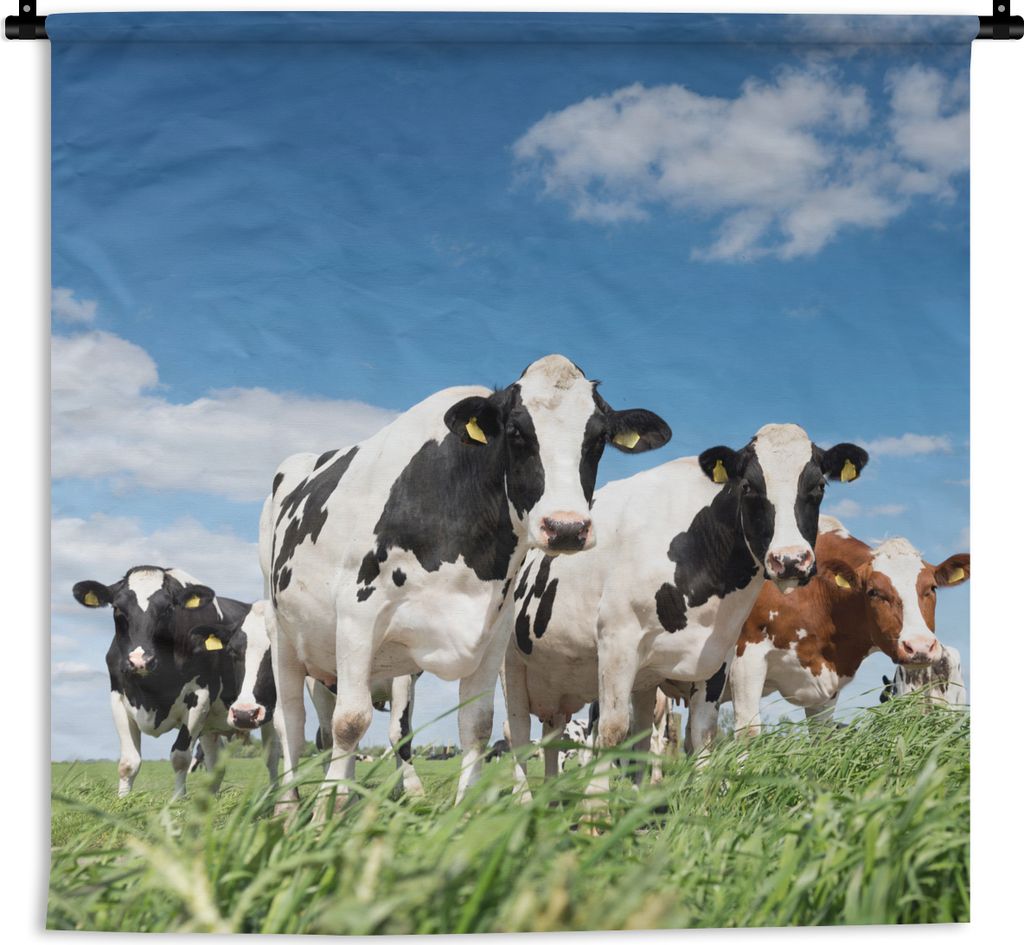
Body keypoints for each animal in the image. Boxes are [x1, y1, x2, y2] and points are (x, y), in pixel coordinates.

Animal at [72, 568, 279, 797]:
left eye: (168, 608)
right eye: (117, 608)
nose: (140, 661)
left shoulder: (199, 698)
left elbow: (180, 757)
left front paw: (178, 800)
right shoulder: (118, 697)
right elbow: (128, 762)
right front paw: (123, 800)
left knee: (272, 756)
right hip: (212, 725)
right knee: (215, 762)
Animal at [259, 354, 671, 815]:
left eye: (598, 438)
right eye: (516, 432)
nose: (566, 527)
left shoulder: (493, 633)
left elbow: (476, 724)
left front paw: (464, 810)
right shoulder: (357, 614)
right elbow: (350, 722)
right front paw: (320, 820)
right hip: (283, 632)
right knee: (293, 723)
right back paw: (290, 806)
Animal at [501, 423, 868, 802]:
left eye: (819, 486)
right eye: (748, 486)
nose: (792, 560)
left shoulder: (717, 657)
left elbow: (702, 734)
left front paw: (704, 802)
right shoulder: (617, 642)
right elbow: (613, 730)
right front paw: (596, 808)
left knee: (564, 738)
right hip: (510, 665)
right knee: (519, 735)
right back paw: (525, 799)